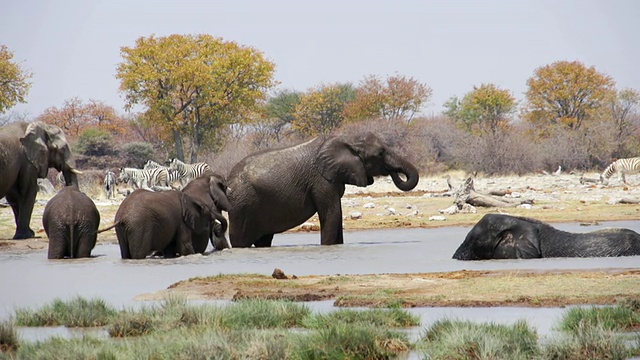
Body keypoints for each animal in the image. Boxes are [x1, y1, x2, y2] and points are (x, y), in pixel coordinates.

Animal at [225, 132, 420, 248]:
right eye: (380, 154)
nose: (393, 172)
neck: (346, 139)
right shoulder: (321, 180)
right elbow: (331, 213)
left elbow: (337, 214)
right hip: (242, 204)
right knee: (240, 239)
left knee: (264, 239)